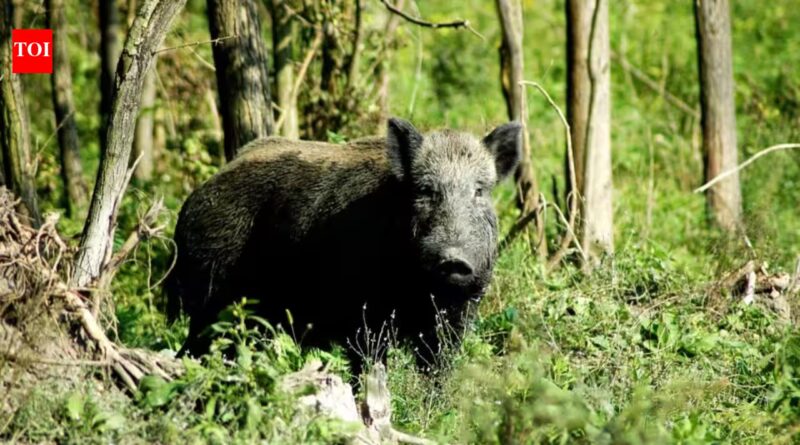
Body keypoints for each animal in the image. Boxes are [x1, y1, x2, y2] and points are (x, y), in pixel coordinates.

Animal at [166, 118, 522, 369]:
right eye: (425, 190)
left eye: (479, 191)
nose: (453, 259)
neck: (419, 289)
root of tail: (190, 202)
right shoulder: (365, 315)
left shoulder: (457, 314)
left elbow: (438, 370)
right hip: (210, 292)